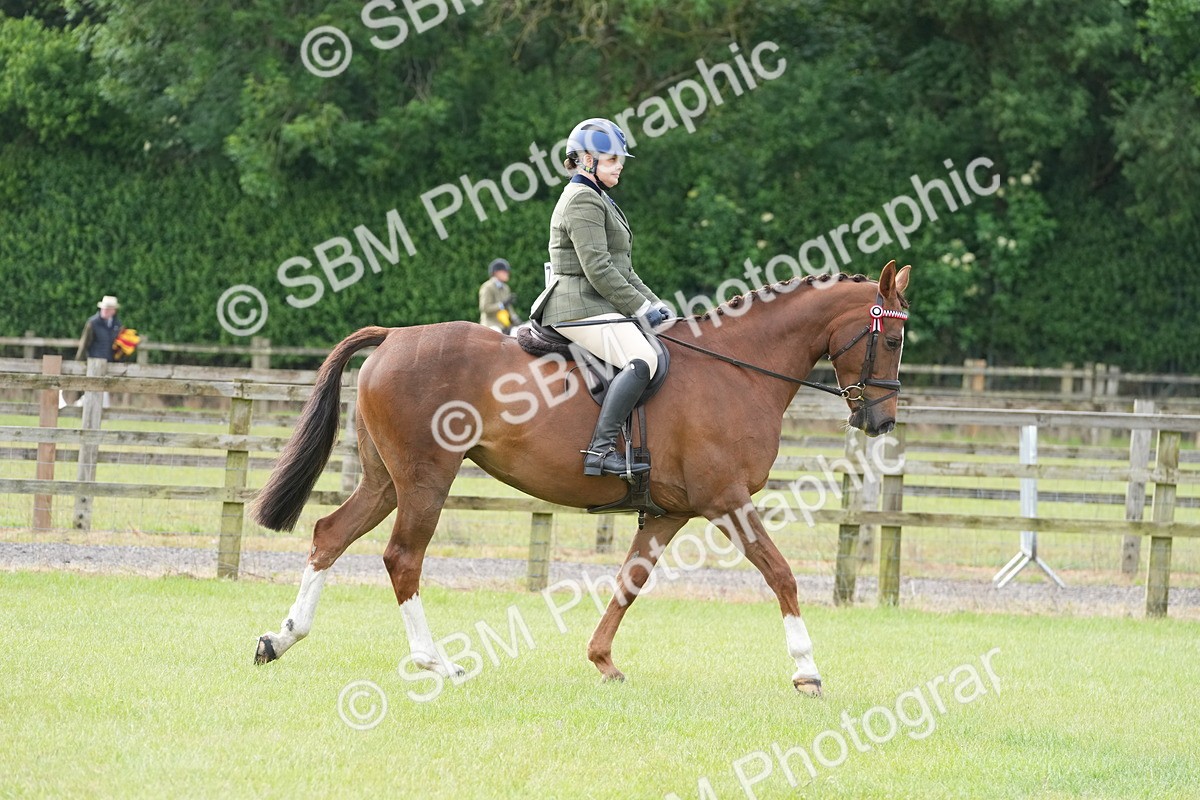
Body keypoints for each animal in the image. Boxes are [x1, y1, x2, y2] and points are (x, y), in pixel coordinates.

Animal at [250, 260, 911, 696]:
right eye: (893, 339)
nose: (880, 421)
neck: (739, 371)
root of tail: (394, 336)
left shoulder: (671, 512)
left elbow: (630, 582)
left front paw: (602, 661)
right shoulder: (725, 501)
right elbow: (781, 574)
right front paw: (807, 670)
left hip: (385, 482)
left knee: (331, 535)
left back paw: (281, 638)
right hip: (424, 481)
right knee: (402, 559)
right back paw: (437, 663)